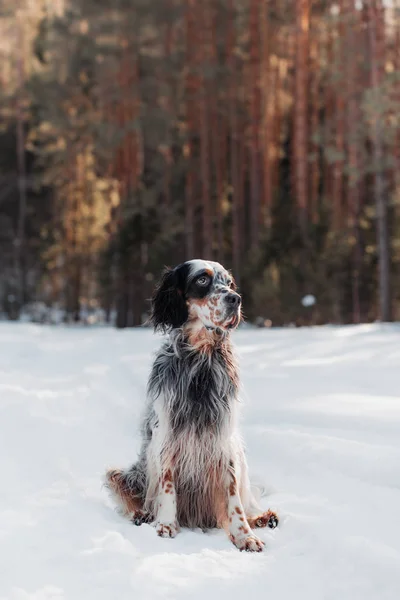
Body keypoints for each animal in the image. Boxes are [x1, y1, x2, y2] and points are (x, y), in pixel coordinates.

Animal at [105, 260, 278, 552]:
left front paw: (245, 535)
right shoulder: (166, 434)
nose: (235, 299)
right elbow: (166, 484)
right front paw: (165, 523)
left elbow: (234, 498)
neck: (200, 358)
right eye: (202, 280)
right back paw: (143, 514)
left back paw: (262, 517)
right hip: (123, 474)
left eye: (229, 283)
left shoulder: (224, 440)